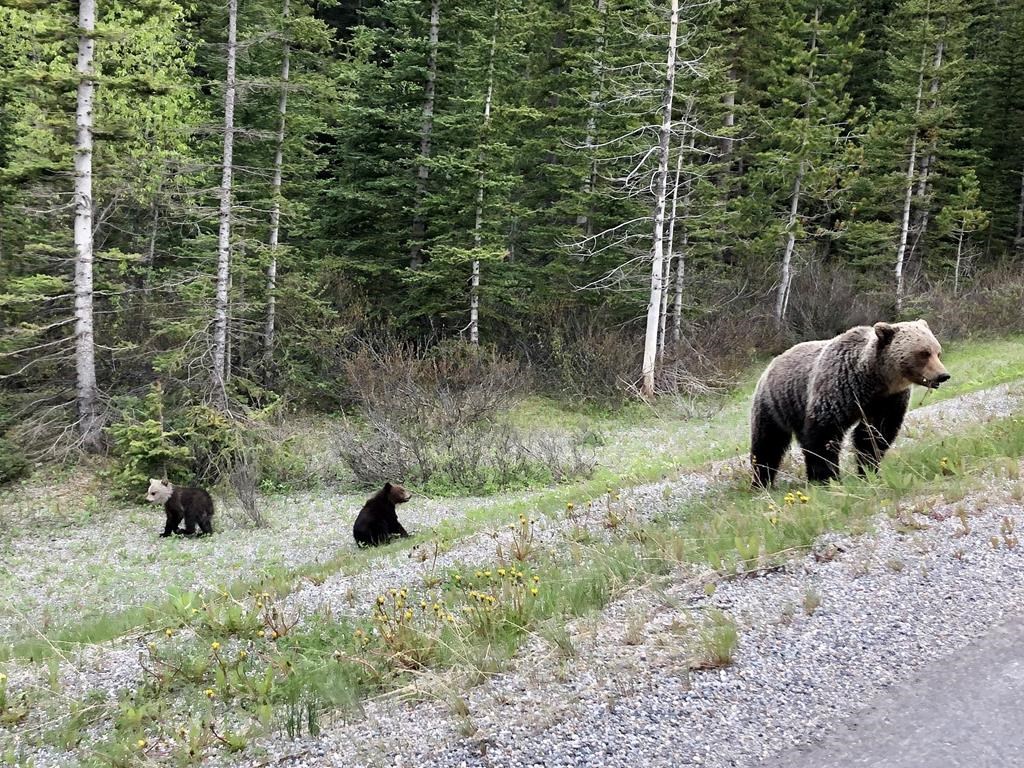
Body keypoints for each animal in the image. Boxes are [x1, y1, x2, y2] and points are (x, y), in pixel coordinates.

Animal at [750, 319, 950, 487]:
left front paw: (868, 470)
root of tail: (773, 363)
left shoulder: (888, 400)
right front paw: (828, 478)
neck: (876, 380)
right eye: (923, 353)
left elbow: (874, 435)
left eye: (937, 352)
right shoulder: (838, 389)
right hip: (775, 403)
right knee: (768, 443)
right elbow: (824, 436)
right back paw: (761, 482)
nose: (943, 375)